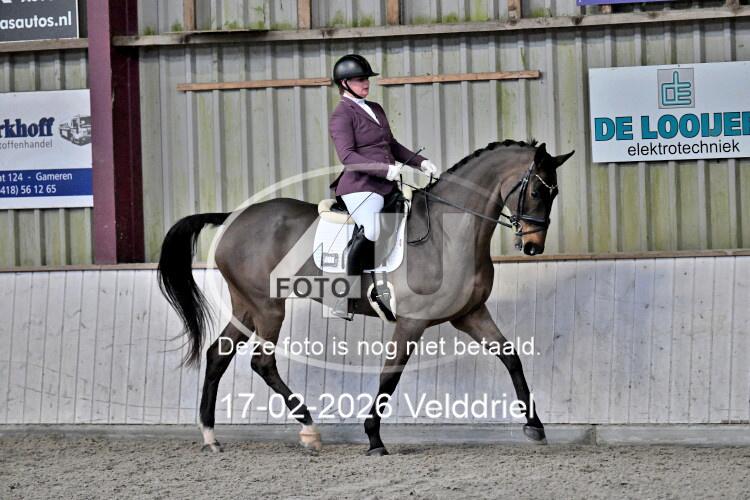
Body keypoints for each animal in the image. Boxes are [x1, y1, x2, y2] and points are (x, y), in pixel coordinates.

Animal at [157, 139, 574, 456]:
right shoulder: (412, 322)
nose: (533, 247)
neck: (448, 235)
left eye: (554, 194)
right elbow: (391, 375)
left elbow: (511, 356)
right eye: (536, 190)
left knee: (218, 355)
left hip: (246, 306)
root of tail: (234, 217)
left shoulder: (470, 314)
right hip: (267, 306)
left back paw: (211, 436)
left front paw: (535, 426)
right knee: (262, 363)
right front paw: (374, 438)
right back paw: (309, 430)